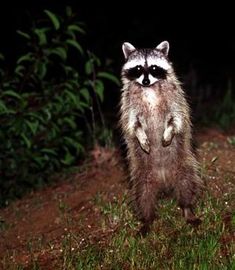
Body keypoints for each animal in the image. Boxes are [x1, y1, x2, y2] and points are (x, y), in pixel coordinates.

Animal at [120, 40, 203, 236]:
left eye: (154, 68)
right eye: (138, 68)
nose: (145, 80)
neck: (149, 88)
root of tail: (163, 179)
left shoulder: (175, 96)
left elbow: (176, 118)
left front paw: (168, 132)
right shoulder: (128, 102)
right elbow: (133, 123)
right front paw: (140, 136)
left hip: (183, 163)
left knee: (187, 183)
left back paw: (187, 208)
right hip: (142, 172)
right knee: (143, 194)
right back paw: (147, 219)